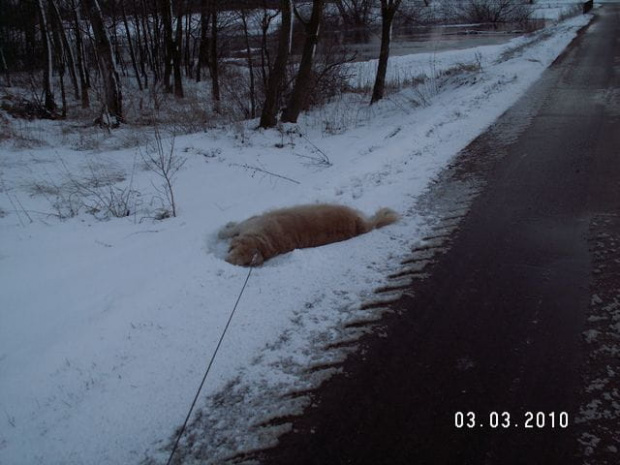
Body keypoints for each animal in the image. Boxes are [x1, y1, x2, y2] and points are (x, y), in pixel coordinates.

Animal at [218, 203, 400, 264]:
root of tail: (360, 225)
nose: (225, 261)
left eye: (239, 261)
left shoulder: (251, 222)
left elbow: (231, 230)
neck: (264, 241)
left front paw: (222, 230)